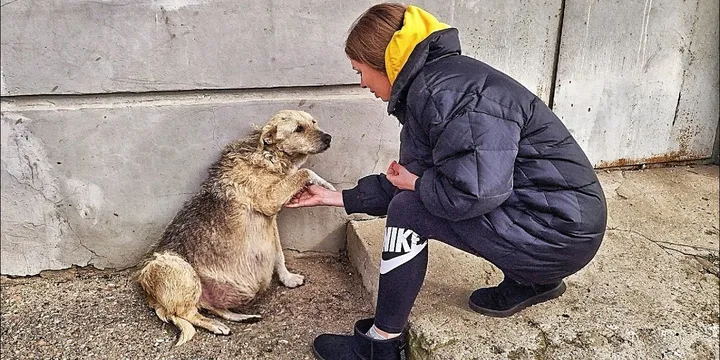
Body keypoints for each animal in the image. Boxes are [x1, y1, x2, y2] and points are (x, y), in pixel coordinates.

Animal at [136, 109, 334, 346]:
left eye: (314, 122)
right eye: (298, 129)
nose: (329, 138)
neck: (268, 154)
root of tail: (150, 295)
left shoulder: (271, 221)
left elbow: (279, 254)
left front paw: (287, 278)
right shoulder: (269, 201)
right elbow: (304, 172)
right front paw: (326, 184)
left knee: (211, 308)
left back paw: (242, 317)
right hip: (177, 268)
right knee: (186, 313)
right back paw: (216, 326)